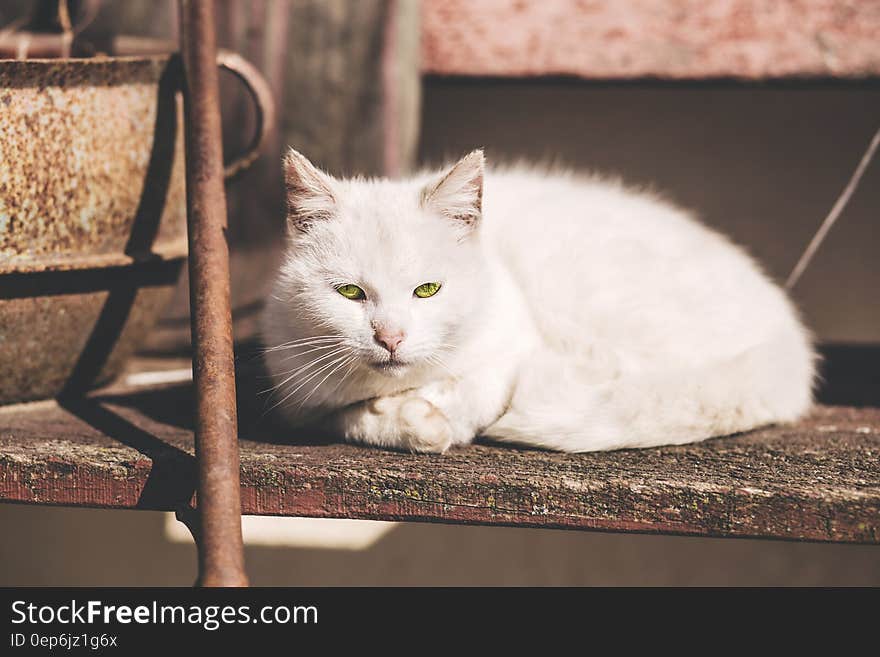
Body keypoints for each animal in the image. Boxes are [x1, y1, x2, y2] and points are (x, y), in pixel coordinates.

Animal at [262, 150, 820, 452]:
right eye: (350, 293)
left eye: (428, 290)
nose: (391, 337)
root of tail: (788, 335)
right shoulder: (296, 396)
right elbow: (341, 416)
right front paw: (411, 421)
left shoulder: (511, 346)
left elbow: (475, 392)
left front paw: (430, 419)